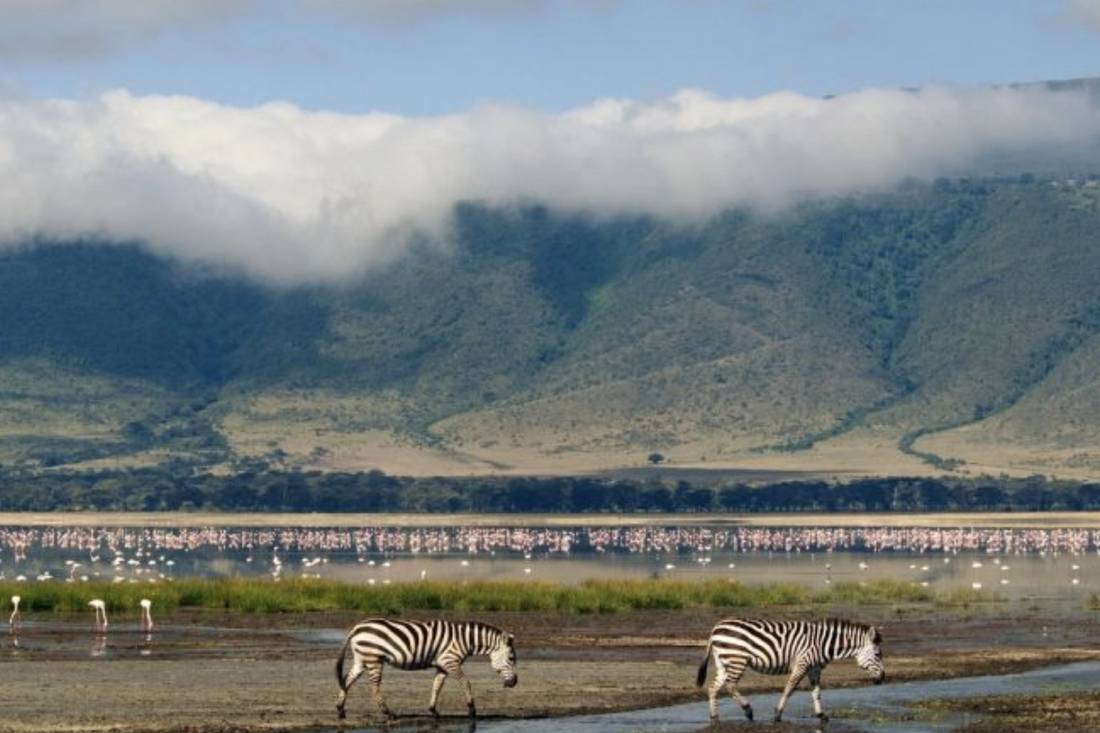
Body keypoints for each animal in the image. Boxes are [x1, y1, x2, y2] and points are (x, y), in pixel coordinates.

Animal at [335, 618, 517, 720]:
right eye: (511, 658)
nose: (514, 683)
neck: (467, 640)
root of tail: (357, 628)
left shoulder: (442, 665)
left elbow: (437, 686)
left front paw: (433, 711)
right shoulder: (450, 661)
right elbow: (466, 682)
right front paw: (472, 710)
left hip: (361, 659)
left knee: (347, 680)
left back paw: (340, 710)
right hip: (374, 659)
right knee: (374, 687)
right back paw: (388, 713)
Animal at [696, 617, 885, 724]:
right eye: (878, 654)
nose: (883, 678)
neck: (823, 644)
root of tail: (715, 628)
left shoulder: (814, 668)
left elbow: (816, 692)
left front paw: (821, 715)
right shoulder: (802, 663)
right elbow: (789, 689)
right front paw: (778, 714)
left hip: (724, 661)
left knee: (713, 687)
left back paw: (714, 717)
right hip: (737, 659)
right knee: (730, 685)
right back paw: (747, 710)